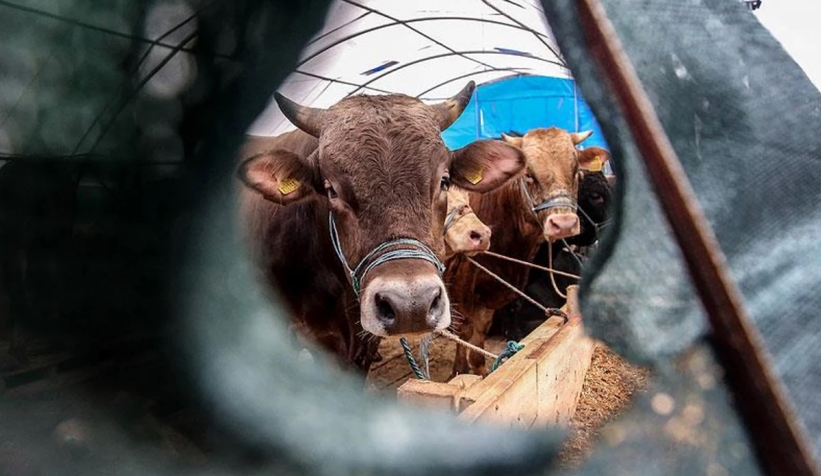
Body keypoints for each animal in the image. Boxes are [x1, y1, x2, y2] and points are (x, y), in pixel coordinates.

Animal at [446, 126, 600, 376]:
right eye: (528, 174)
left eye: (577, 171)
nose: (564, 224)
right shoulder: (462, 290)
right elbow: (464, 332)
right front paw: (459, 371)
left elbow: (478, 341)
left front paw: (480, 372)